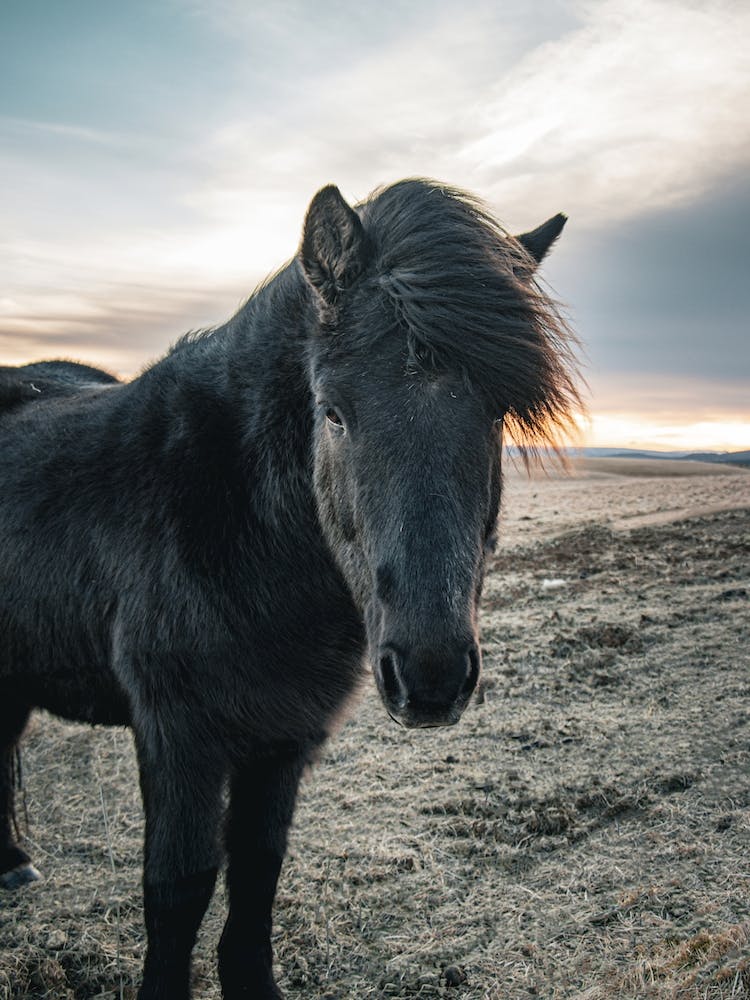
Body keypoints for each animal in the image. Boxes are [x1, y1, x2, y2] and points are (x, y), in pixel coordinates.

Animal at [0, 178, 580, 999]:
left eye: (497, 415)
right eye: (332, 412)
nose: (432, 675)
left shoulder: (284, 732)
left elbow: (258, 870)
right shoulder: (177, 736)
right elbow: (177, 888)